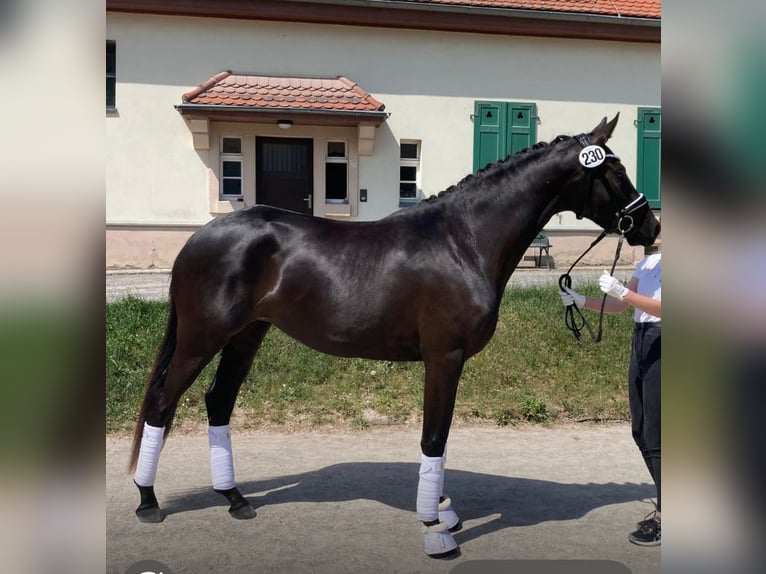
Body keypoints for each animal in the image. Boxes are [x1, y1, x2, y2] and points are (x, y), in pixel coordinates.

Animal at [126, 115, 660, 560]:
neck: (462, 241)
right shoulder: (444, 357)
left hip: (245, 337)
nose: (649, 224)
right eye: (615, 170)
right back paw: (148, 501)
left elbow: (441, 439)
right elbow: (434, 437)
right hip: (202, 339)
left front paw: (442, 509)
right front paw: (435, 528)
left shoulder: (446, 361)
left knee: (218, 403)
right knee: (162, 403)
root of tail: (199, 238)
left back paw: (235, 498)